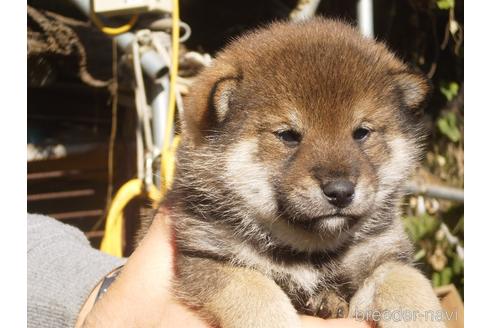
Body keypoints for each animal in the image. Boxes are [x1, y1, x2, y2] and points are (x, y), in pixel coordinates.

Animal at [153, 18, 442, 328]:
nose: (340, 191)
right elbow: (258, 294)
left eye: (361, 133)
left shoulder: (382, 254)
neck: (309, 254)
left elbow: (408, 284)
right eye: (288, 136)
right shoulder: (208, 258)